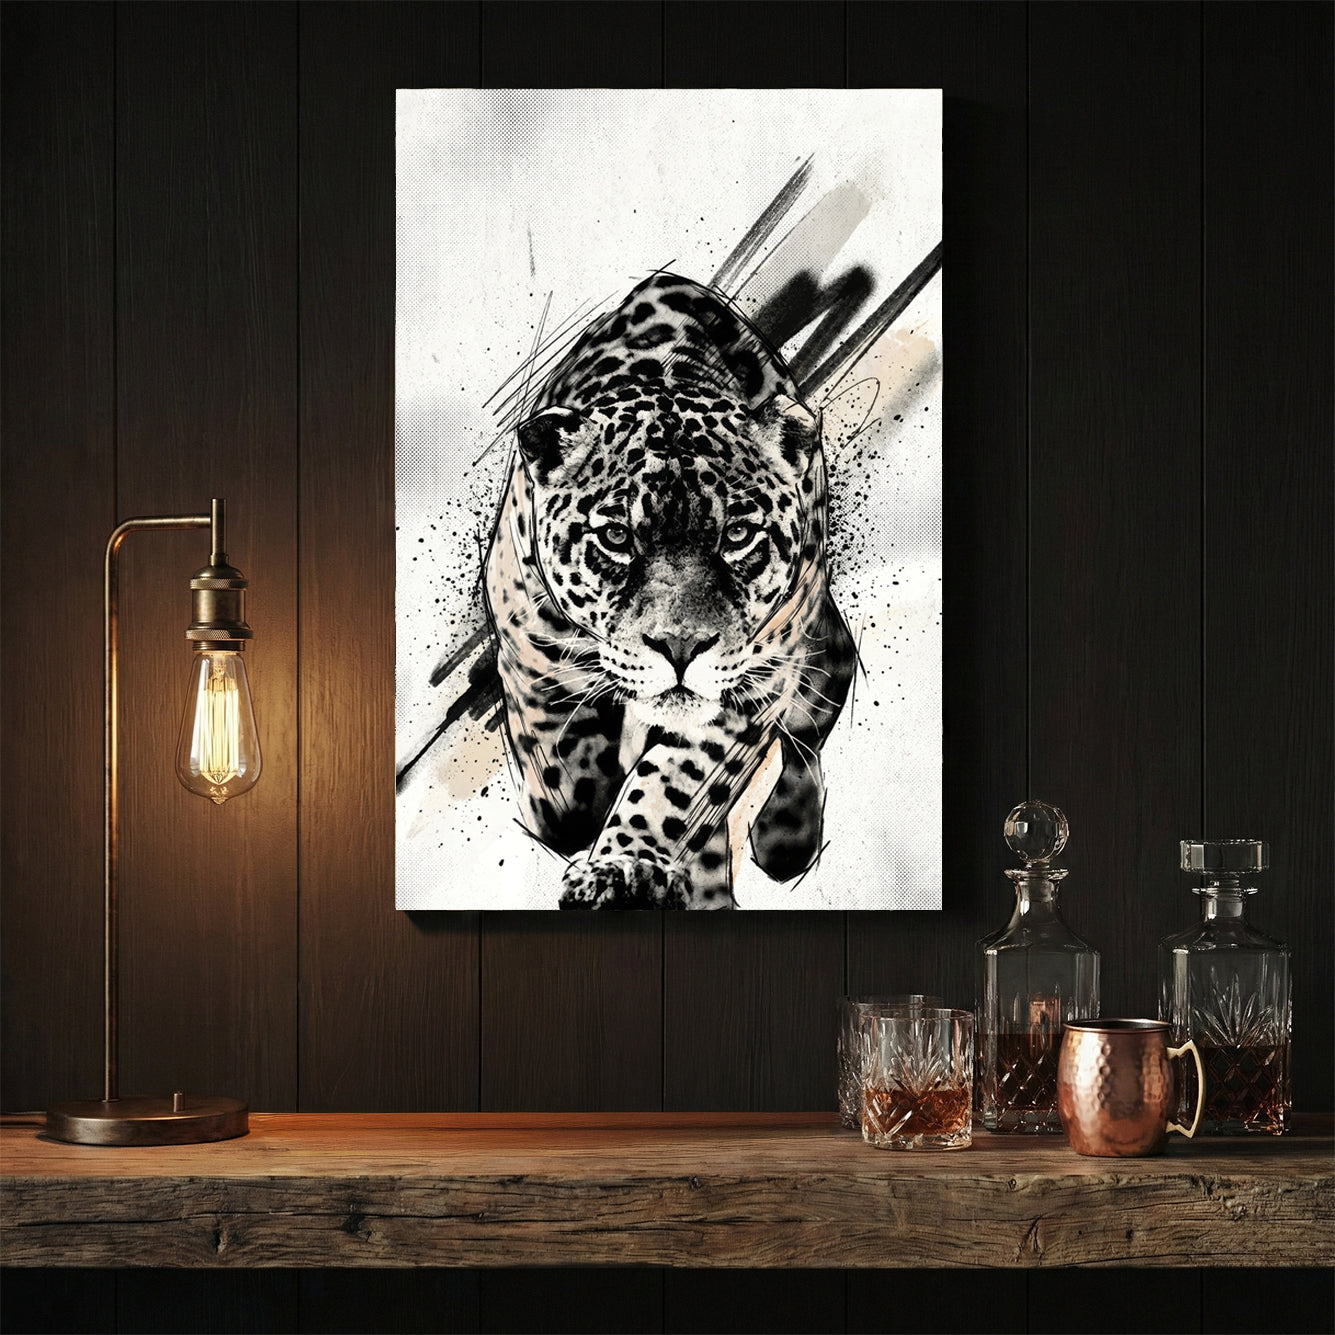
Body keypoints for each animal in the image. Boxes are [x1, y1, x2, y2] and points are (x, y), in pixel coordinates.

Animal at [482, 271, 856, 909]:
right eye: (615, 536)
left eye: (738, 535)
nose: (680, 649)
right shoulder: (528, 651)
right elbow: (565, 793)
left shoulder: (748, 690)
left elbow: (671, 784)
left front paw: (623, 865)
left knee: (823, 690)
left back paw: (785, 836)